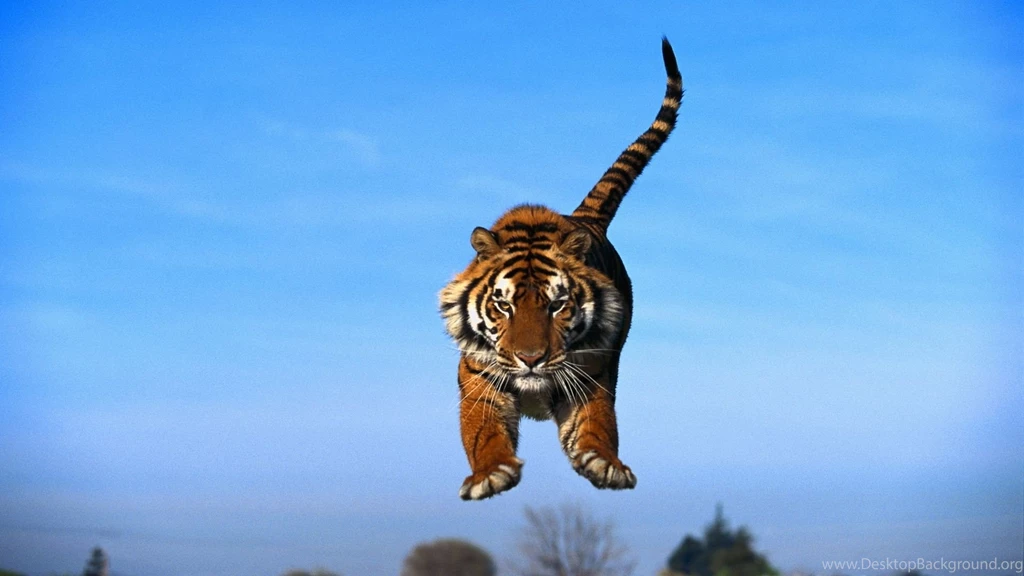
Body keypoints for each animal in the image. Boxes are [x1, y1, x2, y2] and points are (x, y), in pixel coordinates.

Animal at [439, 38, 682, 500]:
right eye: (504, 306)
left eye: (558, 305)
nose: (531, 359)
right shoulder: (480, 378)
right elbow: (482, 432)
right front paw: (491, 474)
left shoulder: (591, 374)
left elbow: (596, 425)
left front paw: (605, 465)